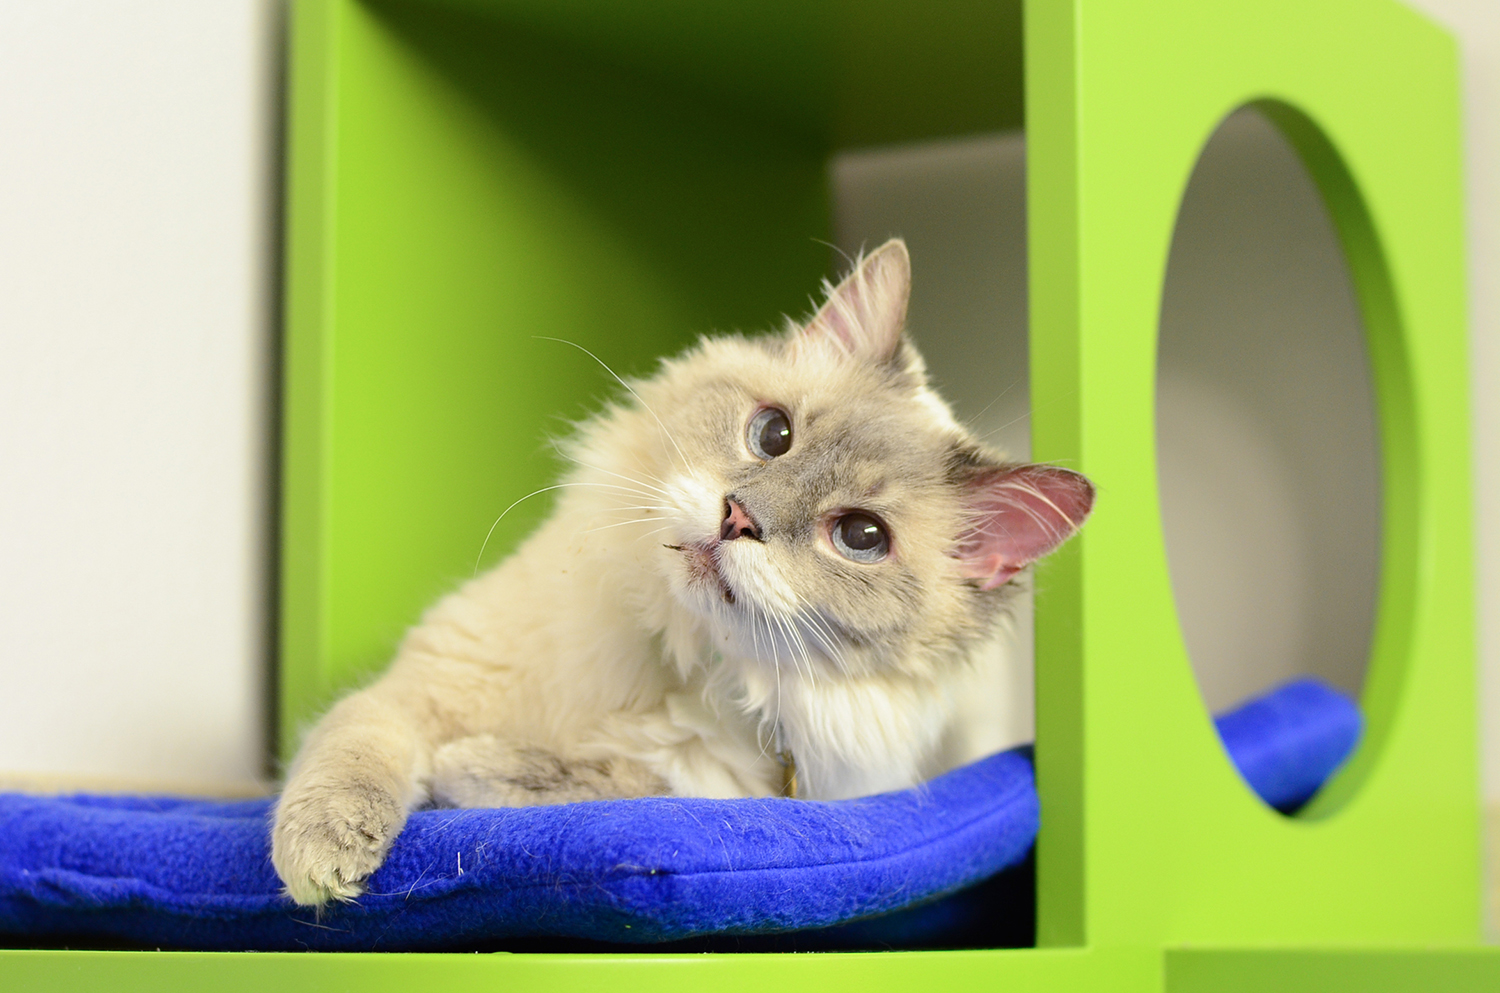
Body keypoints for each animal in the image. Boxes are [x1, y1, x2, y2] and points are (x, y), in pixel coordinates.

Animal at [270, 243, 1092, 912]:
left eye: (861, 537)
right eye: (773, 434)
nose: (738, 518)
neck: (676, 648)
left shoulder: (716, 791)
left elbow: (590, 783)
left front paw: (471, 770)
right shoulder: (424, 688)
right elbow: (353, 754)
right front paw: (322, 866)